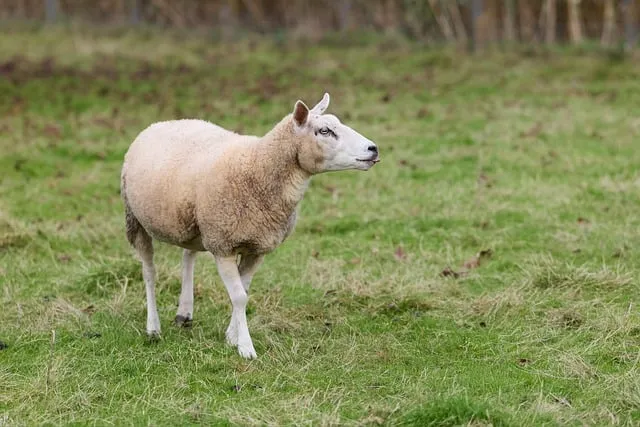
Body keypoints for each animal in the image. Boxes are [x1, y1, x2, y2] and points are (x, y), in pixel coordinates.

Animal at [120, 93, 379, 359]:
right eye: (324, 131)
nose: (373, 148)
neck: (258, 167)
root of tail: (164, 122)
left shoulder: (257, 248)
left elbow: (243, 292)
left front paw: (231, 337)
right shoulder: (222, 245)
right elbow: (239, 297)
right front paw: (245, 347)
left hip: (194, 224)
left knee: (187, 257)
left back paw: (184, 312)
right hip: (135, 219)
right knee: (149, 272)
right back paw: (153, 327)